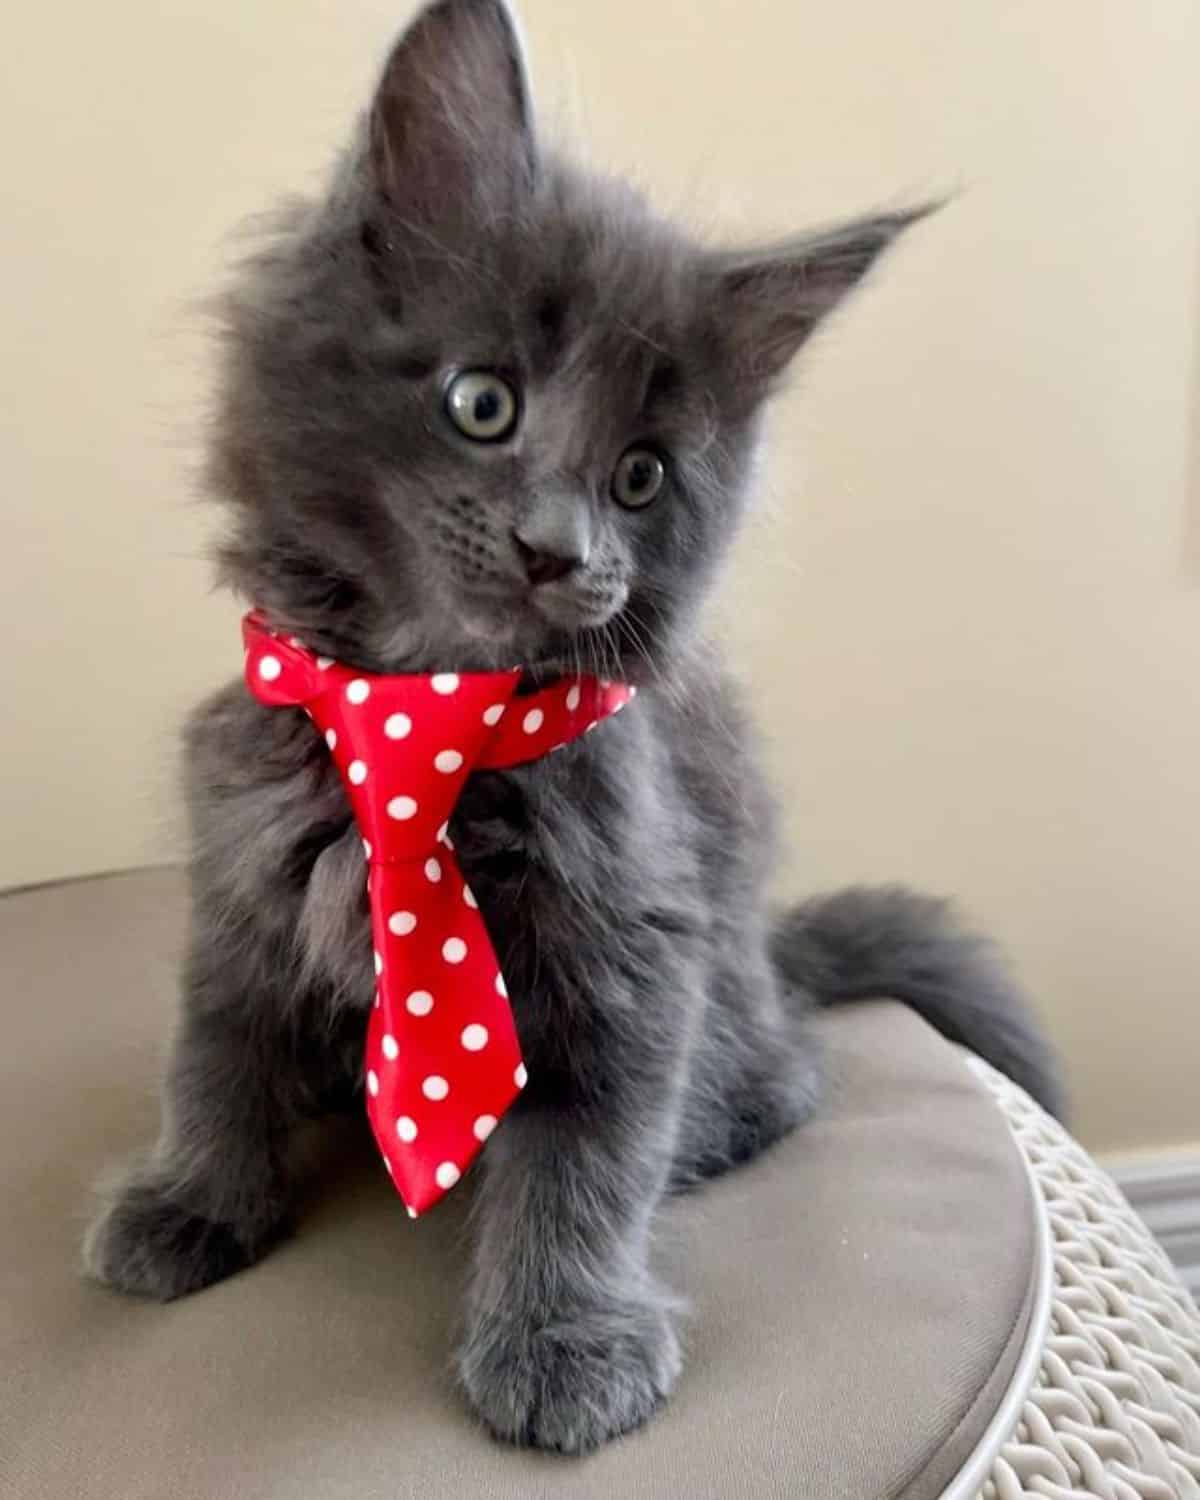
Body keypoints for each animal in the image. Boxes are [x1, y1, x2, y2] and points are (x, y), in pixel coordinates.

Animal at [84, 0, 1062, 1452]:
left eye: (642, 478)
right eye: (482, 401)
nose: (560, 551)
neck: (420, 719)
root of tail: (775, 960)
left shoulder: (629, 947)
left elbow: (582, 1165)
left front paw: (561, 1343)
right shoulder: (242, 880)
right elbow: (215, 1053)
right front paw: (191, 1200)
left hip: (732, 988)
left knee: (782, 1079)